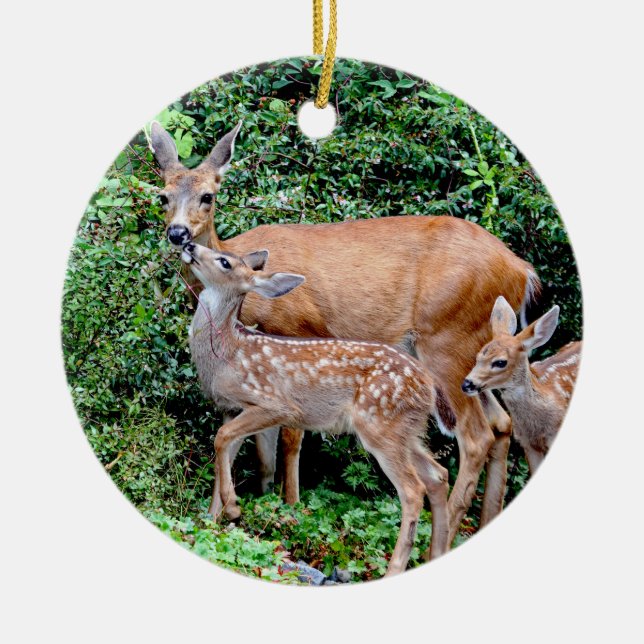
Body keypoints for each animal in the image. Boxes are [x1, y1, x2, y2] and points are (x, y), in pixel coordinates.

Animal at [181, 241, 450, 575]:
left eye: (224, 262)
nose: (188, 243)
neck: (226, 355)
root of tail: (428, 383)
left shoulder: (275, 403)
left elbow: (221, 438)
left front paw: (231, 508)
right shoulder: (229, 408)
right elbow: (225, 454)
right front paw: (212, 518)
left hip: (381, 424)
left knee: (413, 490)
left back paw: (395, 567)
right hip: (407, 431)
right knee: (438, 475)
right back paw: (436, 553)